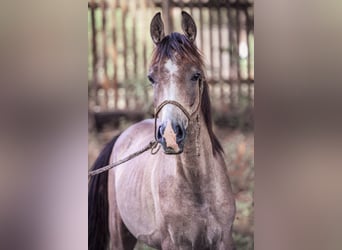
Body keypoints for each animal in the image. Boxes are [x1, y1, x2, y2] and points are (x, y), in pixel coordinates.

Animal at [89, 10, 235, 249]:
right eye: (151, 78)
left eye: (196, 75)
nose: (170, 136)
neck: (197, 185)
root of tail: (123, 135)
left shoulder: (224, 239)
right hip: (120, 235)